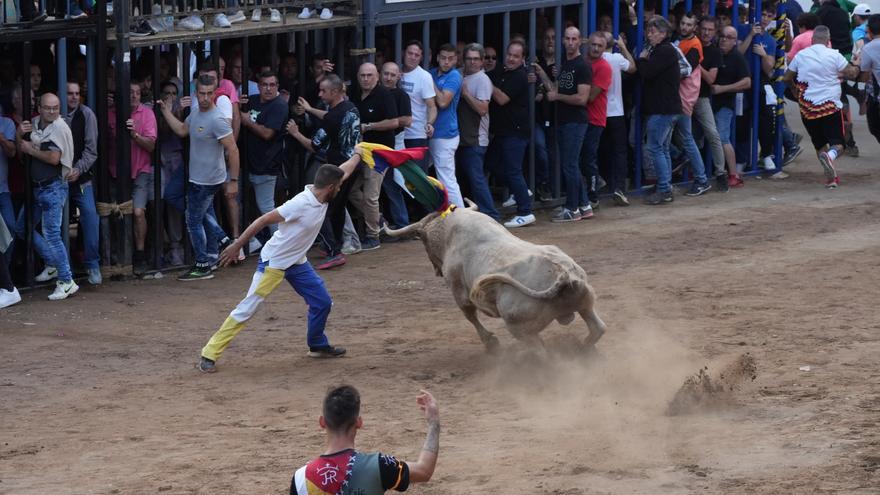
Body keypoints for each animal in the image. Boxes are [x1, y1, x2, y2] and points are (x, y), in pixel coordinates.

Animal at [384, 202, 604, 352]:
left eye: (422, 240)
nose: (435, 270)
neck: (449, 232)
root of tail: (563, 275)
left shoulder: (458, 291)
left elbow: (470, 315)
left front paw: (491, 343)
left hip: (519, 326)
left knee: (540, 350)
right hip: (585, 303)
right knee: (598, 329)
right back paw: (584, 348)